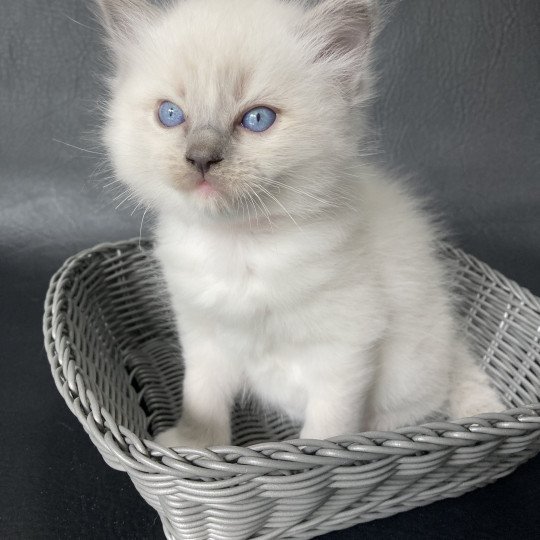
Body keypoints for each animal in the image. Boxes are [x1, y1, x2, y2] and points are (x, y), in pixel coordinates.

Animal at [96, 0, 502, 448]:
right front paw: (194, 443)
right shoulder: (203, 335)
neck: (239, 243)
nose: (201, 159)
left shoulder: (345, 347)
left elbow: (329, 426)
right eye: (170, 114)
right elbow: (201, 394)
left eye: (257, 119)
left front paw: (322, 452)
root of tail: (452, 340)